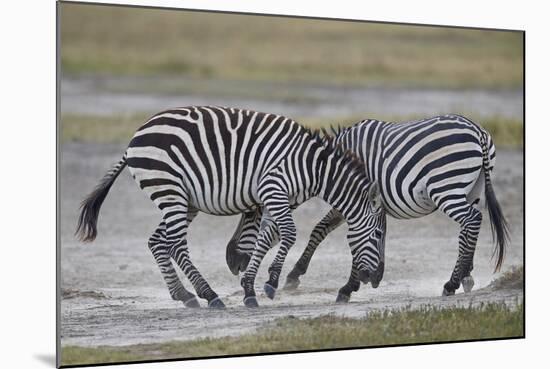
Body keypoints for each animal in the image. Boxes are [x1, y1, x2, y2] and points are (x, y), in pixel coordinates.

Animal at [75, 105, 386, 308]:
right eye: (378, 235)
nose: (375, 279)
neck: (315, 169)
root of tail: (135, 137)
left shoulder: (275, 197)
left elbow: (264, 239)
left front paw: (249, 288)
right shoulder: (274, 188)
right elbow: (288, 234)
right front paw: (271, 282)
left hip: (182, 199)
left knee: (157, 241)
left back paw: (184, 295)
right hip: (169, 189)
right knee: (175, 243)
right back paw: (209, 295)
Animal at [226, 113, 512, 298]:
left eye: (249, 214)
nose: (231, 262)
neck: (329, 165)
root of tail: (477, 131)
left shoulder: (353, 198)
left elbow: (331, 232)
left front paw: (343, 284)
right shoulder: (364, 201)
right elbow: (358, 235)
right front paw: (369, 277)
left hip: (446, 187)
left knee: (471, 220)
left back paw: (451, 283)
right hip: (471, 189)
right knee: (470, 226)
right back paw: (465, 275)